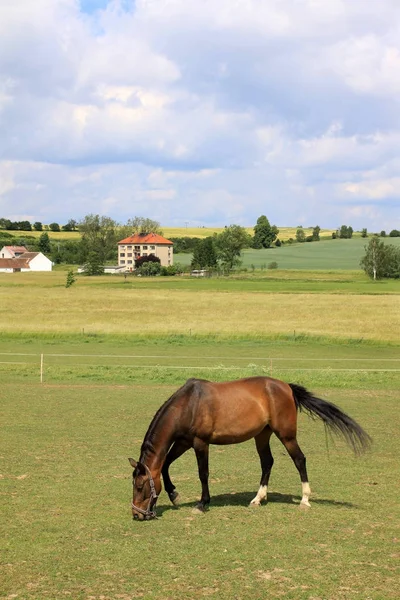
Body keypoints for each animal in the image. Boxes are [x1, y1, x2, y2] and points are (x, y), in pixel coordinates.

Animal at [129, 376, 372, 520]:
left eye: (140, 486)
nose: (137, 514)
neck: (189, 403)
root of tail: (286, 387)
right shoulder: (183, 441)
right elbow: (165, 465)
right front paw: (174, 495)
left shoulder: (200, 442)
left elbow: (203, 473)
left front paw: (202, 503)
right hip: (262, 435)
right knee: (267, 462)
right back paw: (257, 499)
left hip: (286, 435)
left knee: (299, 460)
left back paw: (304, 500)